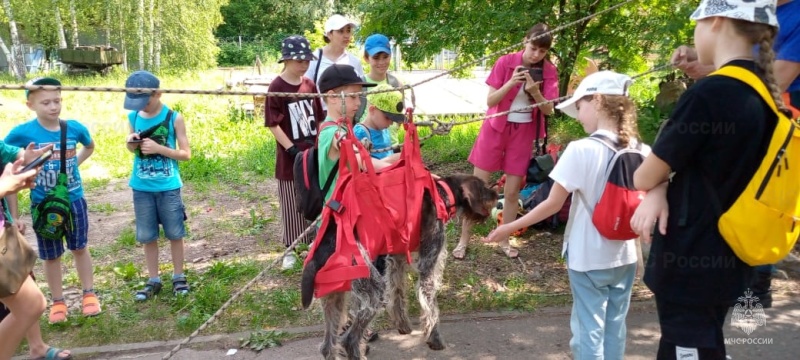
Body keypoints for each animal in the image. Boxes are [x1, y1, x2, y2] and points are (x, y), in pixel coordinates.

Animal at [302, 174, 496, 358]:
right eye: (483, 188)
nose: (496, 193)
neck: (442, 193)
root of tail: (318, 253)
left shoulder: (397, 259)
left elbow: (397, 292)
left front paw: (403, 325)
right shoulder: (427, 264)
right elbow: (431, 306)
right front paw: (434, 338)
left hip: (334, 298)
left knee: (328, 347)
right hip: (373, 291)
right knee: (349, 340)